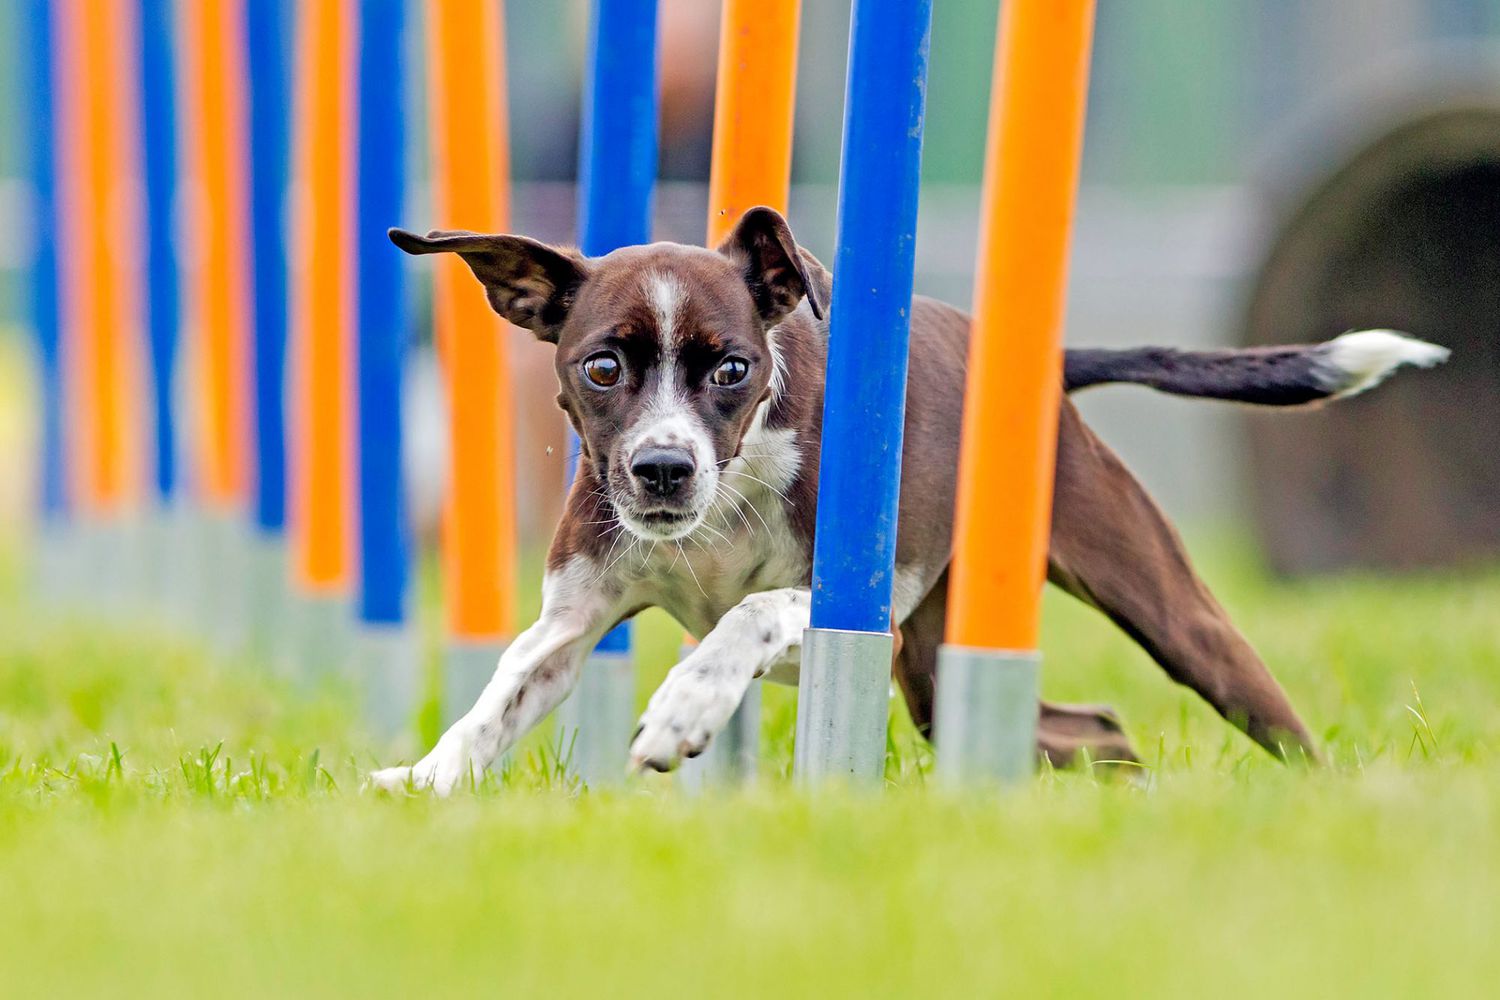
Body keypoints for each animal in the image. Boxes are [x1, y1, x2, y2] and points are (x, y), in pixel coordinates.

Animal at [369, 206, 1446, 791]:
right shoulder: (572, 619)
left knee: (1269, 717)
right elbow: (499, 698)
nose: (663, 469)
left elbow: (747, 616)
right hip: (934, 670)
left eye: (732, 368)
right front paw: (426, 779)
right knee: (1094, 730)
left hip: (1166, 609)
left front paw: (685, 706)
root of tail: (1046, 366)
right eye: (602, 367)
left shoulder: (854, 618)